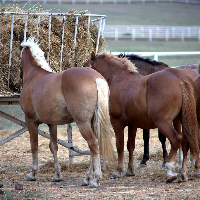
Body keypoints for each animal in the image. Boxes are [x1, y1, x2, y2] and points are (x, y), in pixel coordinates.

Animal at [19, 38, 115, 188]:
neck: (34, 75)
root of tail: (96, 77)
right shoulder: (51, 123)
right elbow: (53, 146)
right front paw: (57, 175)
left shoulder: (30, 121)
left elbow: (34, 146)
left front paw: (32, 173)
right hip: (93, 122)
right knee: (95, 146)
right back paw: (87, 178)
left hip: (83, 123)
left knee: (93, 144)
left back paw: (95, 179)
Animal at [84, 51, 200, 183]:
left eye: (85, 65)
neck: (118, 78)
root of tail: (179, 79)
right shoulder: (132, 124)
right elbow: (130, 145)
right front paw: (130, 170)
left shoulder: (117, 123)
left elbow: (120, 146)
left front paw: (118, 171)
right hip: (183, 120)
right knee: (186, 142)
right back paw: (183, 173)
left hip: (163, 123)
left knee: (176, 139)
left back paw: (170, 171)